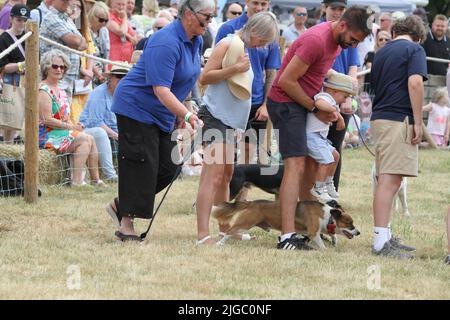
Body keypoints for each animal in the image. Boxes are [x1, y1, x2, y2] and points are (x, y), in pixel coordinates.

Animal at [213, 199, 360, 249]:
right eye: (349, 223)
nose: (358, 232)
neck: (328, 215)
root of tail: (252, 202)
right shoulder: (313, 232)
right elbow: (321, 244)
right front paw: (325, 250)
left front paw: (334, 241)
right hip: (246, 222)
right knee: (230, 231)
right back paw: (220, 243)